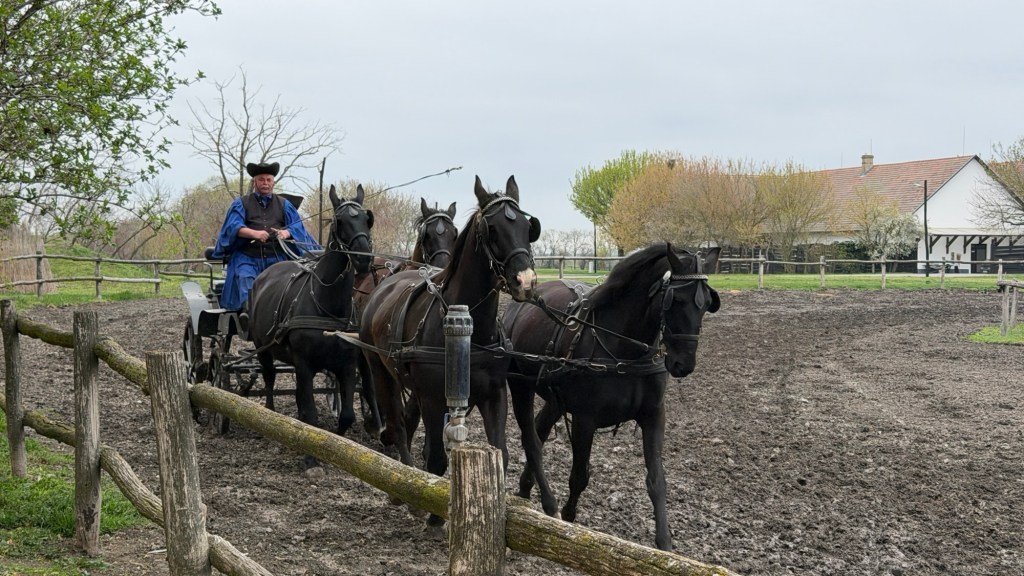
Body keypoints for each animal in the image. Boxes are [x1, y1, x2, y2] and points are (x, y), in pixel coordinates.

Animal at [247, 184, 376, 471]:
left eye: (367, 218)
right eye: (340, 221)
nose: (363, 259)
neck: (327, 306)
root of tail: (265, 274)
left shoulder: (346, 366)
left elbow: (346, 415)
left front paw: (334, 447)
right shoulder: (304, 364)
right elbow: (311, 414)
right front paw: (310, 458)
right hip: (263, 349)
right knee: (270, 379)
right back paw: (270, 418)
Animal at [358, 175, 540, 526]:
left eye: (528, 227)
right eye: (492, 229)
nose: (525, 281)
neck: (471, 330)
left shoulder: (493, 393)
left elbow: (501, 453)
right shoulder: (431, 396)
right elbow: (437, 458)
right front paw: (433, 514)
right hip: (380, 371)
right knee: (397, 423)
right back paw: (403, 483)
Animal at [502, 243, 720, 551]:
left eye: (706, 302)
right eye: (675, 300)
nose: (684, 364)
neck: (625, 348)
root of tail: (521, 302)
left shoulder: (654, 415)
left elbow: (657, 481)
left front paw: (665, 544)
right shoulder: (585, 420)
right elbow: (579, 477)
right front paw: (568, 519)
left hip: (556, 397)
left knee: (540, 429)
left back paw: (525, 487)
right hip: (520, 385)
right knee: (530, 438)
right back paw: (546, 501)